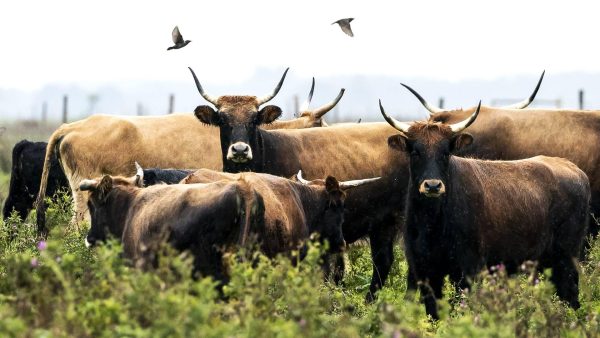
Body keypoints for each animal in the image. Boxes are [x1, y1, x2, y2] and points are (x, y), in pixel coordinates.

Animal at [380, 99, 592, 320]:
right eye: (415, 152)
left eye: (446, 152)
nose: (432, 186)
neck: (432, 223)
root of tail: (574, 170)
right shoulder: (425, 270)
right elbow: (434, 313)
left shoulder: (467, 269)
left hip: (567, 257)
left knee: (571, 296)